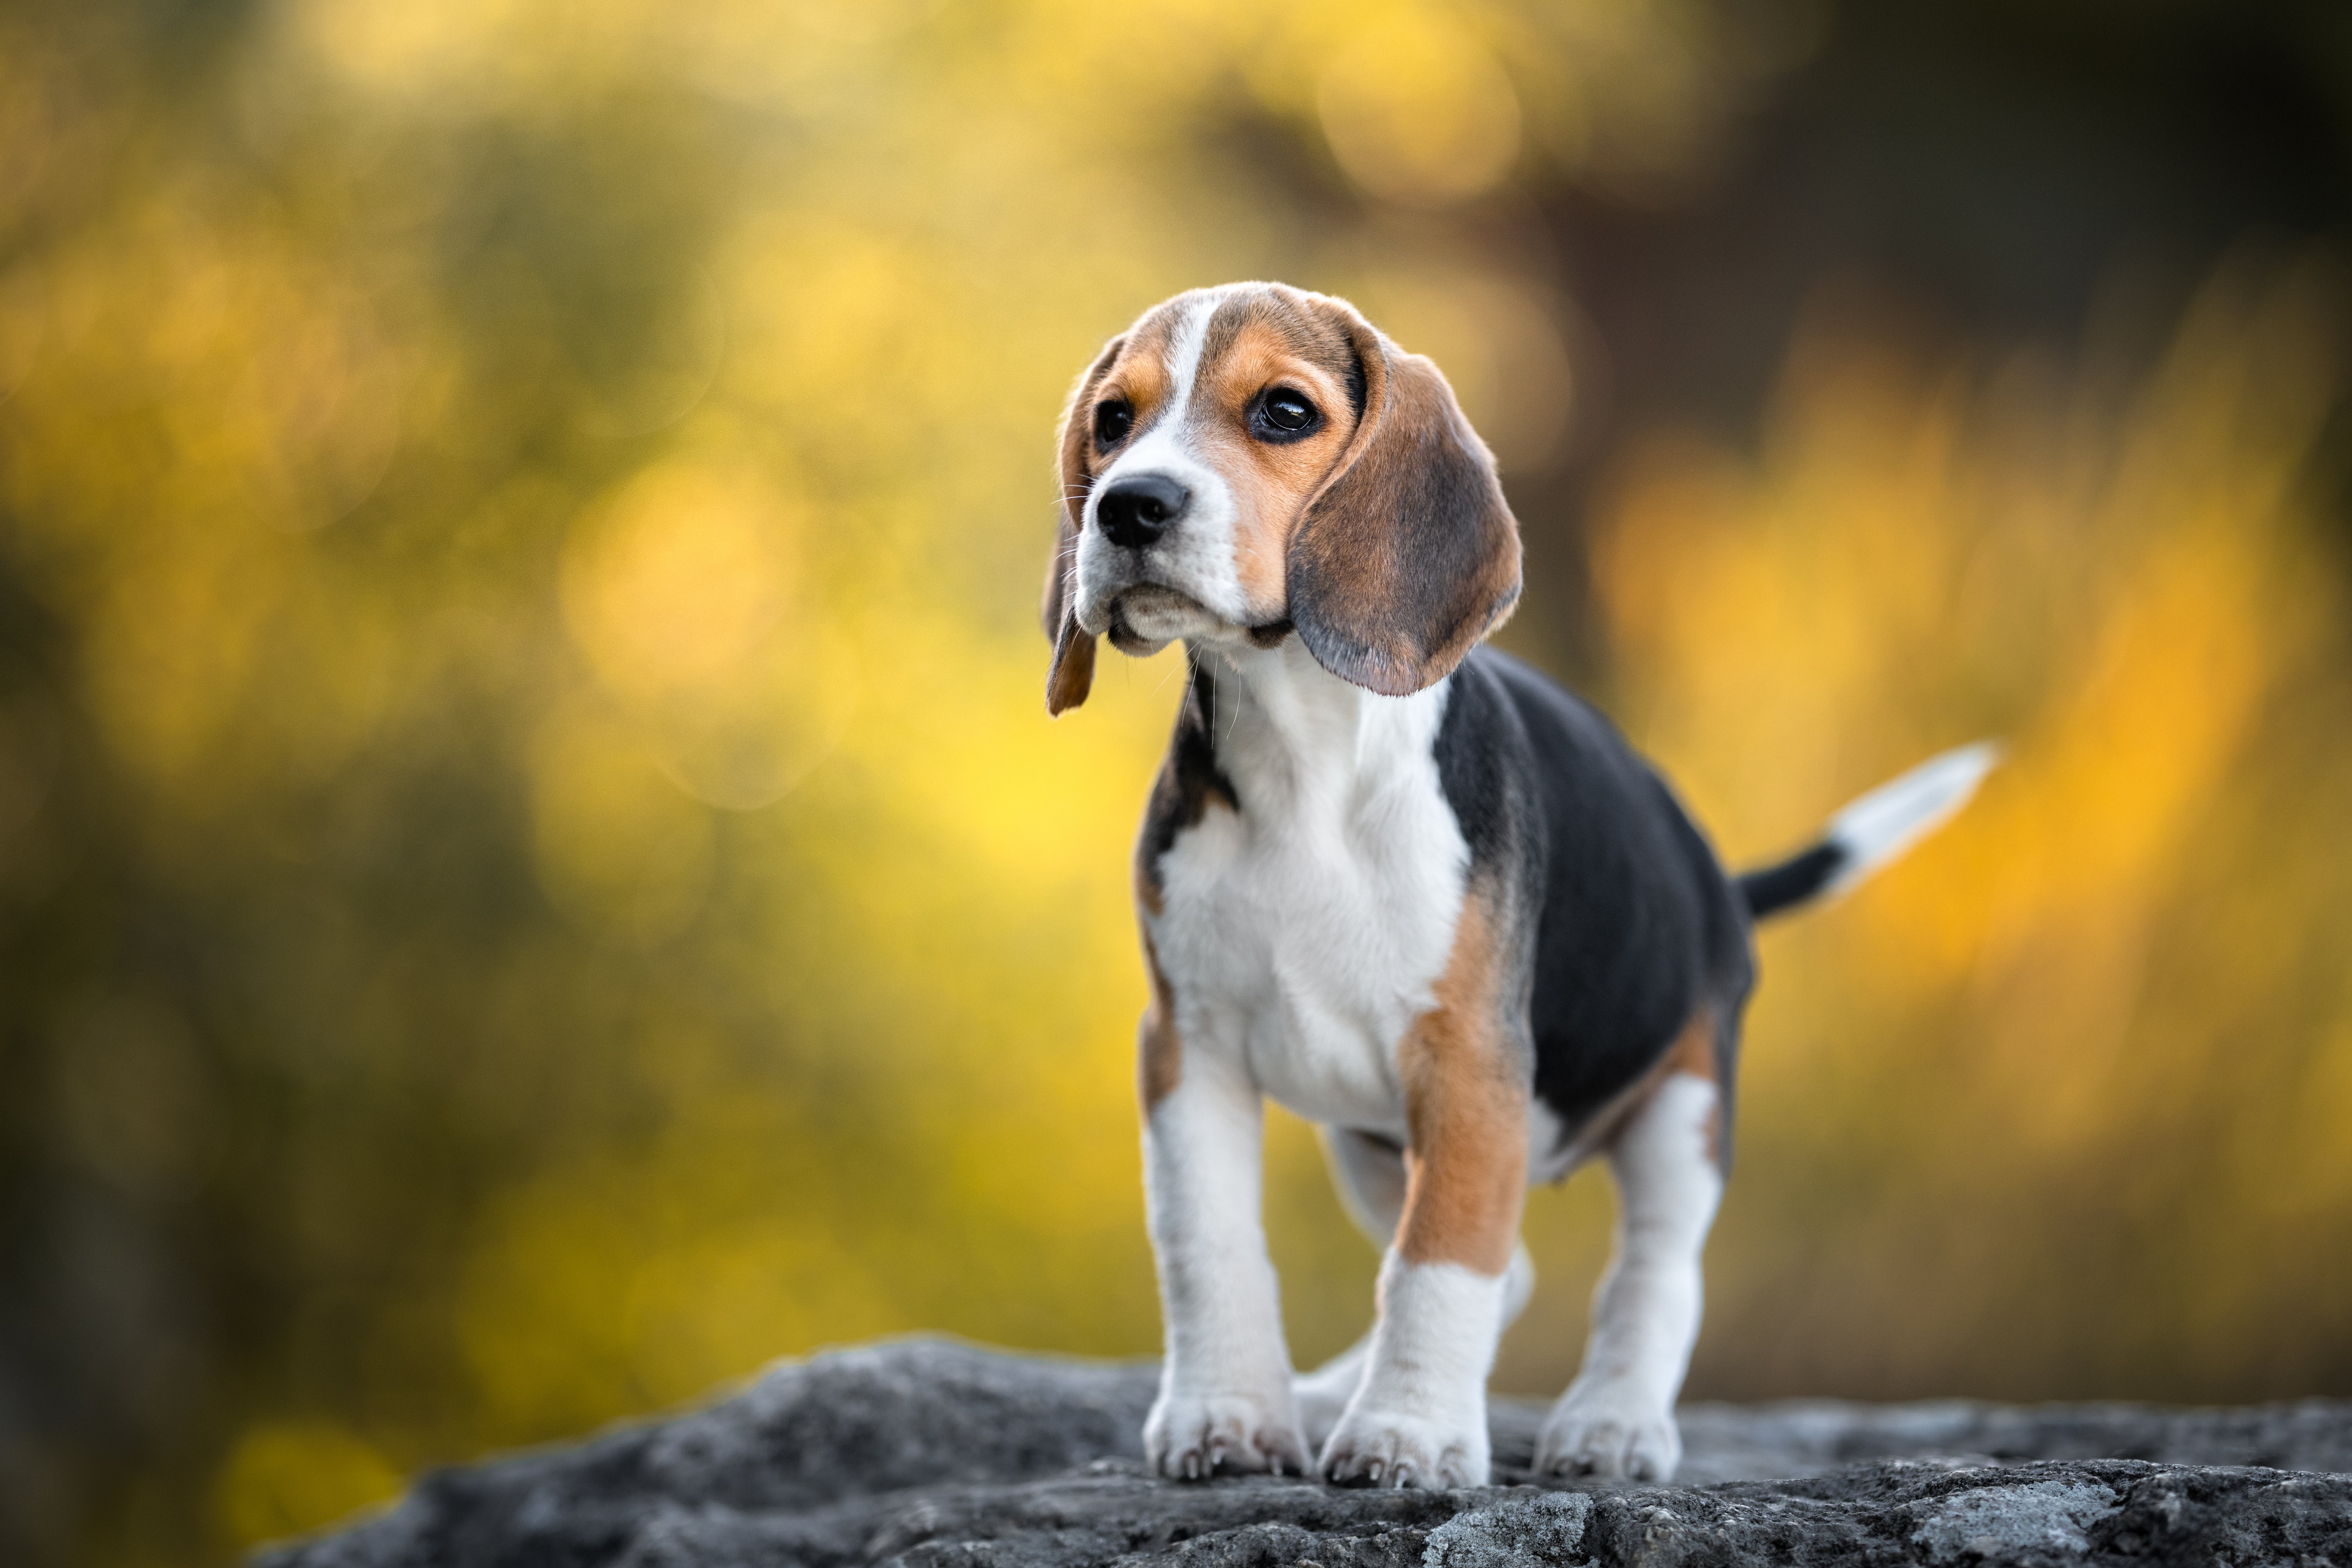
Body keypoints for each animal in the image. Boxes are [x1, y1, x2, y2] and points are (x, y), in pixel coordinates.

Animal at [1044, 282, 1985, 1495]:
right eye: (1113, 421)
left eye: (1283, 412)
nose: (1127, 508)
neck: (1302, 761)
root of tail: (1714, 879)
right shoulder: (1186, 1046)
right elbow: (1208, 1243)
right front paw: (1228, 1413)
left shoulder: (1469, 1065)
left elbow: (1443, 1256)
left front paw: (1405, 1433)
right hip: (1365, 1138)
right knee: (1518, 1266)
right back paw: (1328, 1386)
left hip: (1679, 1108)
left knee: (1649, 1278)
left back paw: (1613, 1421)